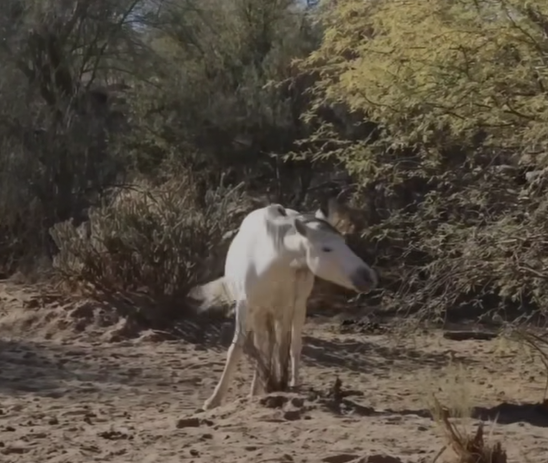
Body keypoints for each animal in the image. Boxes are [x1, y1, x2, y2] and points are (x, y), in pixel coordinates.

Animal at [188, 199, 376, 410]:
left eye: (344, 243)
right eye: (326, 248)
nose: (368, 277)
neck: (268, 262)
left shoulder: (284, 308)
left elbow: (282, 349)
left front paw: (279, 387)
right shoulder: (246, 307)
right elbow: (238, 349)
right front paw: (215, 399)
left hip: (297, 307)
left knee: (293, 346)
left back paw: (290, 384)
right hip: (261, 313)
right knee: (263, 345)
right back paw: (257, 388)